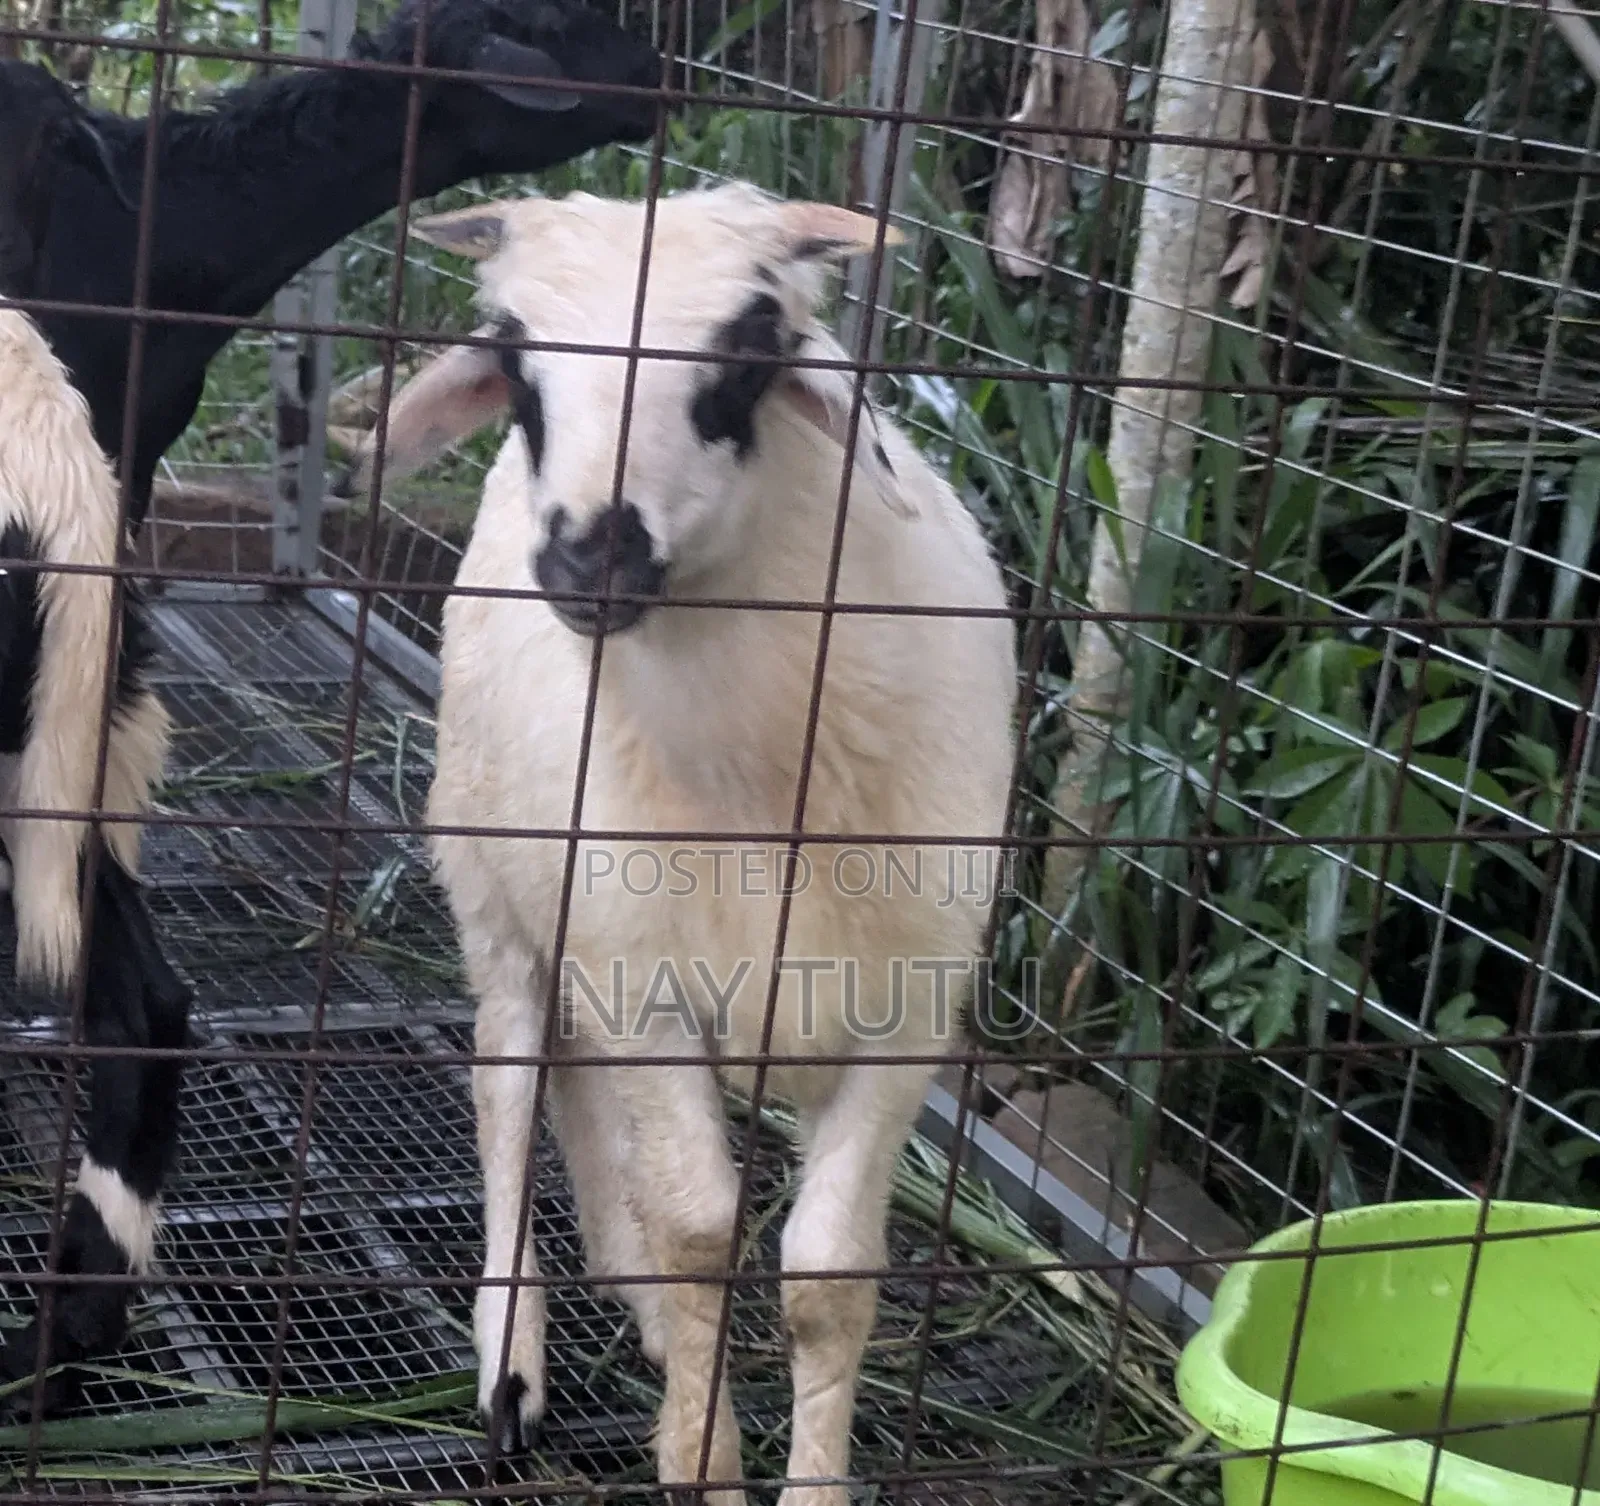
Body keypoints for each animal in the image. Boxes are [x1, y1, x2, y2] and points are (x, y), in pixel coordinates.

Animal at [340, 181, 1019, 1506]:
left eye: (746, 351)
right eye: (517, 363)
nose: (587, 553)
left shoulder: (907, 1006)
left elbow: (825, 1276)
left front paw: (804, 1478)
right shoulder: (647, 980)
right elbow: (703, 1227)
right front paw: (702, 1459)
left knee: (585, 1101)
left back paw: (640, 1312)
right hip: (492, 885)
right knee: (510, 1084)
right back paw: (515, 1361)